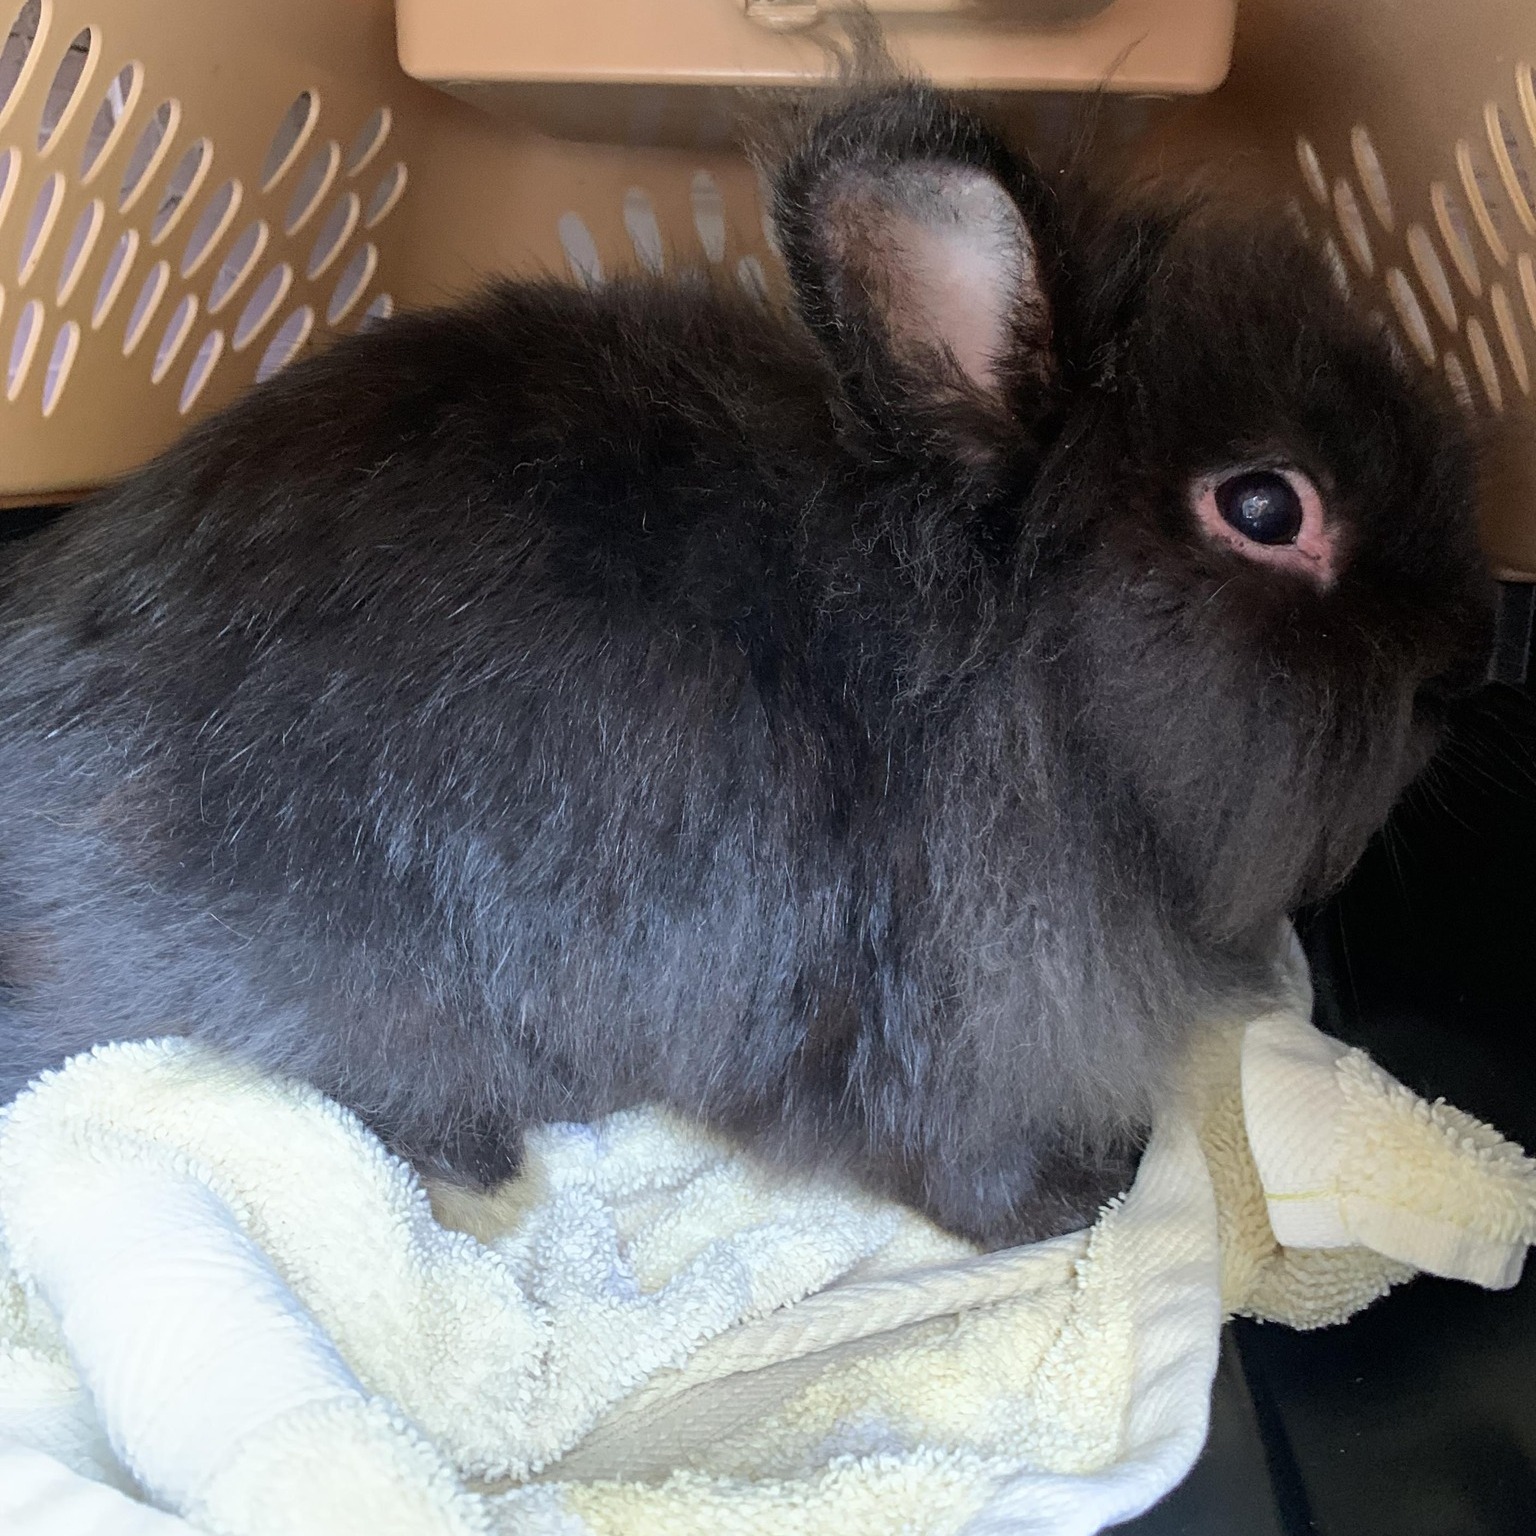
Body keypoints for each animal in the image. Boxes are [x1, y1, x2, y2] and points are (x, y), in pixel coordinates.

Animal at [0, 82, 1494, 1250]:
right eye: (1265, 507)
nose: (1465, 663)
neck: (1010, 670)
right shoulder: (954, 1019)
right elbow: (966, 1164)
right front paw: (1085, 1202)